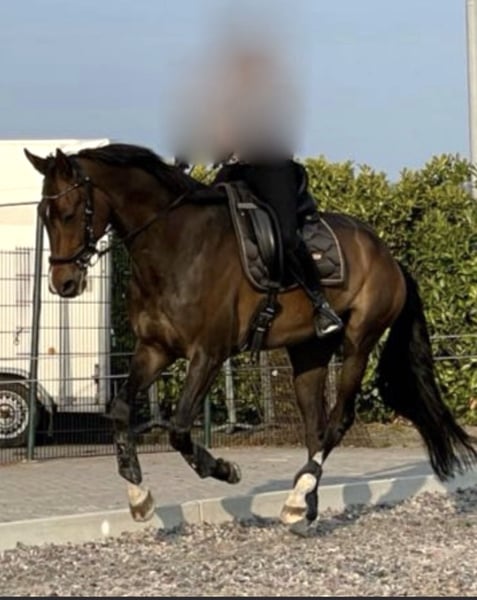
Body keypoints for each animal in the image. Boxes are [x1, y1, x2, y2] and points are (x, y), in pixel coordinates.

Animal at [24, 143, 477, 533]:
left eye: (69, 212)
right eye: (44, 215)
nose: (63, 283)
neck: (174, 245)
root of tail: (388, 255)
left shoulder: (208, 354)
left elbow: (179, 427)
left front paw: (224, 470)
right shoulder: (155, 350)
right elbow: (120, 411)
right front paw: (139, 496)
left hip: (358, 344)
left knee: (337, 422)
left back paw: (298, 496)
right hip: (308, 353)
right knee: (314, 427)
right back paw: (304, 503)